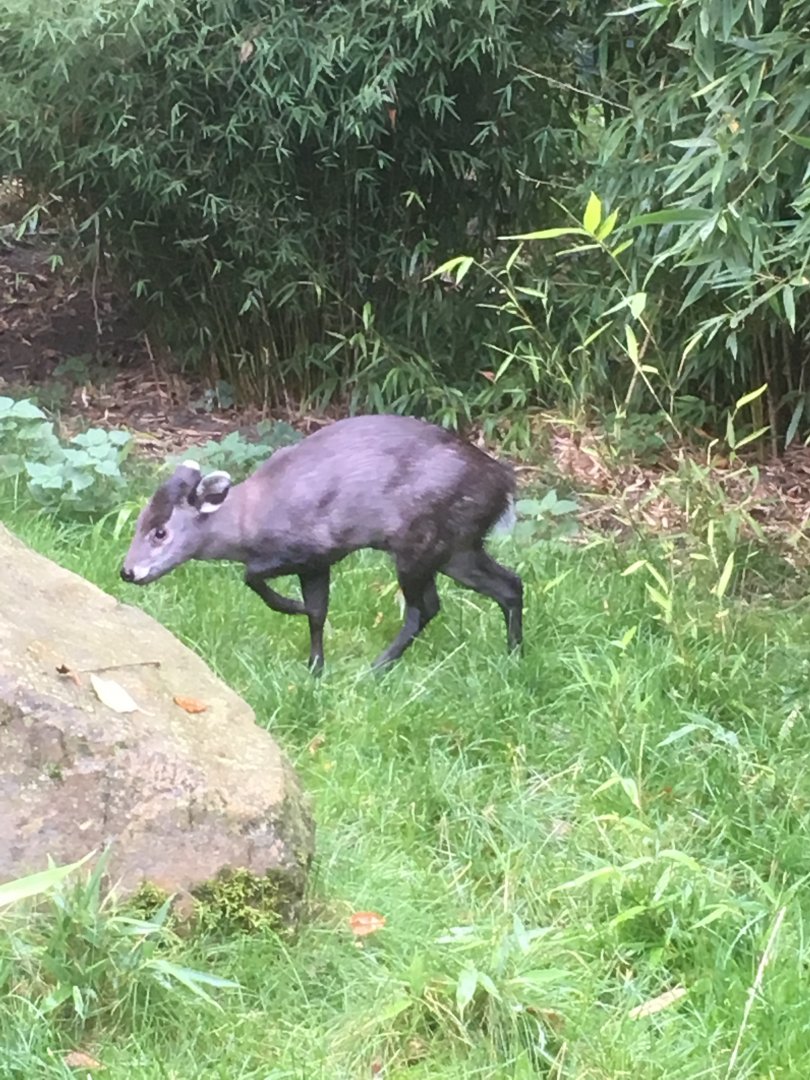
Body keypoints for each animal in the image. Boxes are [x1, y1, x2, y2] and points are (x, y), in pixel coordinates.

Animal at [120, 414, 523, 673]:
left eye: (160, 531)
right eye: (138, 522)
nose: (127, 571)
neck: (251, 520)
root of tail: (504, 484)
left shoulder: (314, 549)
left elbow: (252, 576)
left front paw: (290, 607)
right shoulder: (316, 565)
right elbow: (317, 613)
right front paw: (315, 669)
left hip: (419, 543)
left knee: (422, 608)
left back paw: (374, 669)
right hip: (457, 548)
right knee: (509, 585)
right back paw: (513, 657)